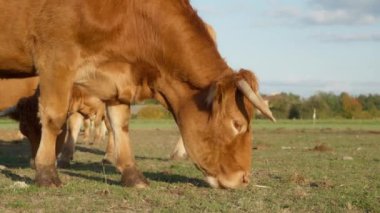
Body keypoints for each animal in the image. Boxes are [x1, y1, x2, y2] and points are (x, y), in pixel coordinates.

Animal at [0, 0, 274, 190]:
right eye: (236, 124)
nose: (243, 178)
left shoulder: (118, 76)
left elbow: (119, 125)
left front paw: (132, 175)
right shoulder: (56, 58)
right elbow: (56, 117)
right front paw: (47, 173)